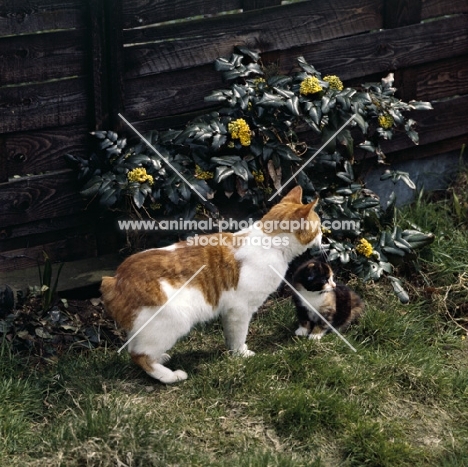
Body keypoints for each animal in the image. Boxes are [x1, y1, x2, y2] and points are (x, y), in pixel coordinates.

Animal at [101, 186, 322, 384]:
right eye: (319, 226)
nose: (324, 235)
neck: (269, 242)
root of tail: (115, 278)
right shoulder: (240, 310)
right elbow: (239, 335)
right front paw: (241, 354)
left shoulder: (229, 312)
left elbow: (230, 335)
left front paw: (234, 352)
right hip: (173, 320)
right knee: (139, 355)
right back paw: (170, 376)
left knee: (136, 347)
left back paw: (161, 359)